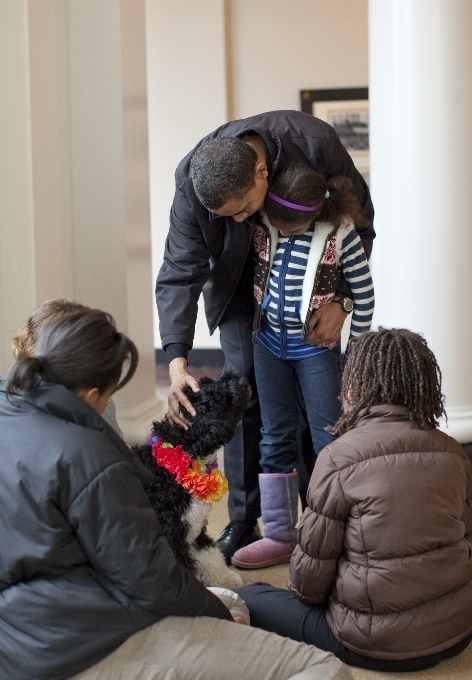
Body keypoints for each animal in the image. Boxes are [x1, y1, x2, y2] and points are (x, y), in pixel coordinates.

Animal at [135, 370, 249, 588]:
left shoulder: (195, 531)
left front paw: (227, 580)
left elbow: (210, 558)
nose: (233, 373)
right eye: (216, 394)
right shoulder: (172, 536)